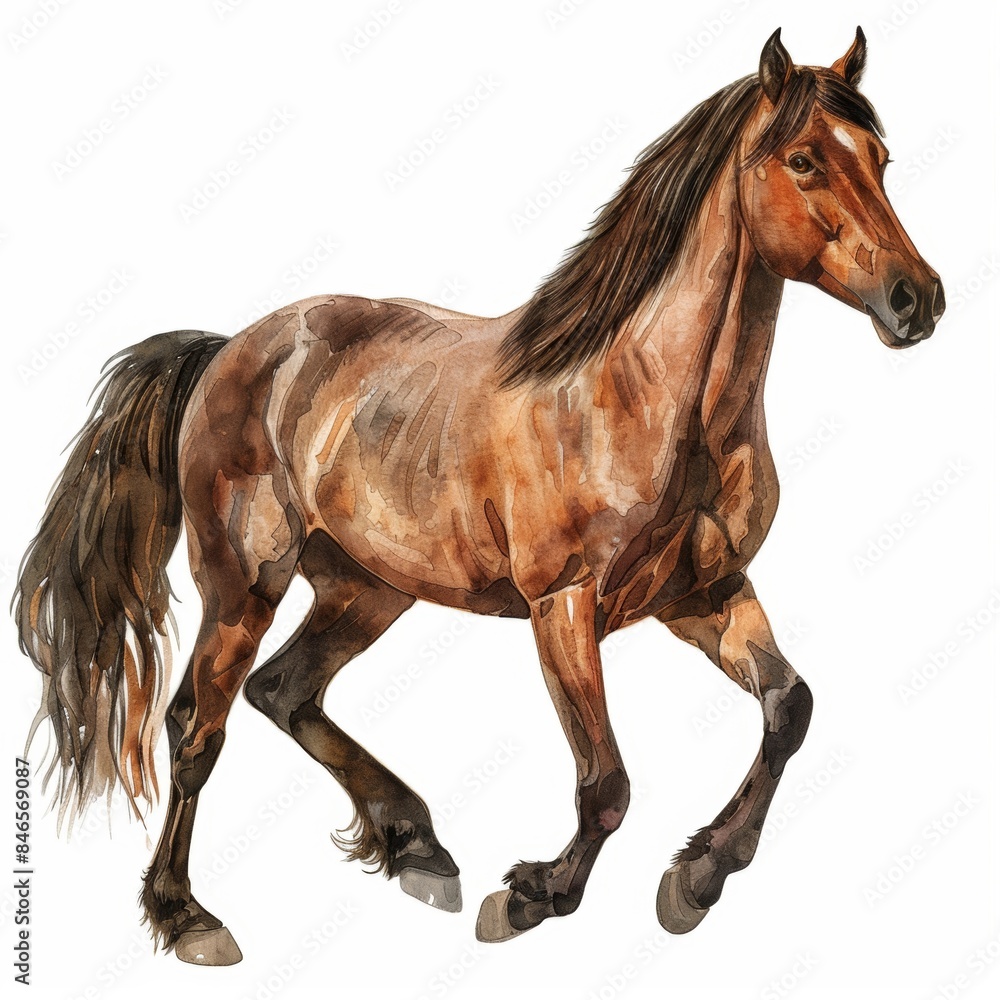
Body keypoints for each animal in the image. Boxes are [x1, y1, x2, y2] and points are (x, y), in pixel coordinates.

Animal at [15, 27, 944, 965]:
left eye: (881, 158)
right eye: (803, 159)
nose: (918, 299)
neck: (644, 400)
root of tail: (228, 348)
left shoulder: (704, 595)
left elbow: (790, 708)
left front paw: (699, 874)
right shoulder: (563, 604)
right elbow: (605, 780)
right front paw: (536, 894)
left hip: (367, 589)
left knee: (283, 691)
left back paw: (415, 845)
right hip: (244, 585)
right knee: (196, 727)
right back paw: (188, 915)